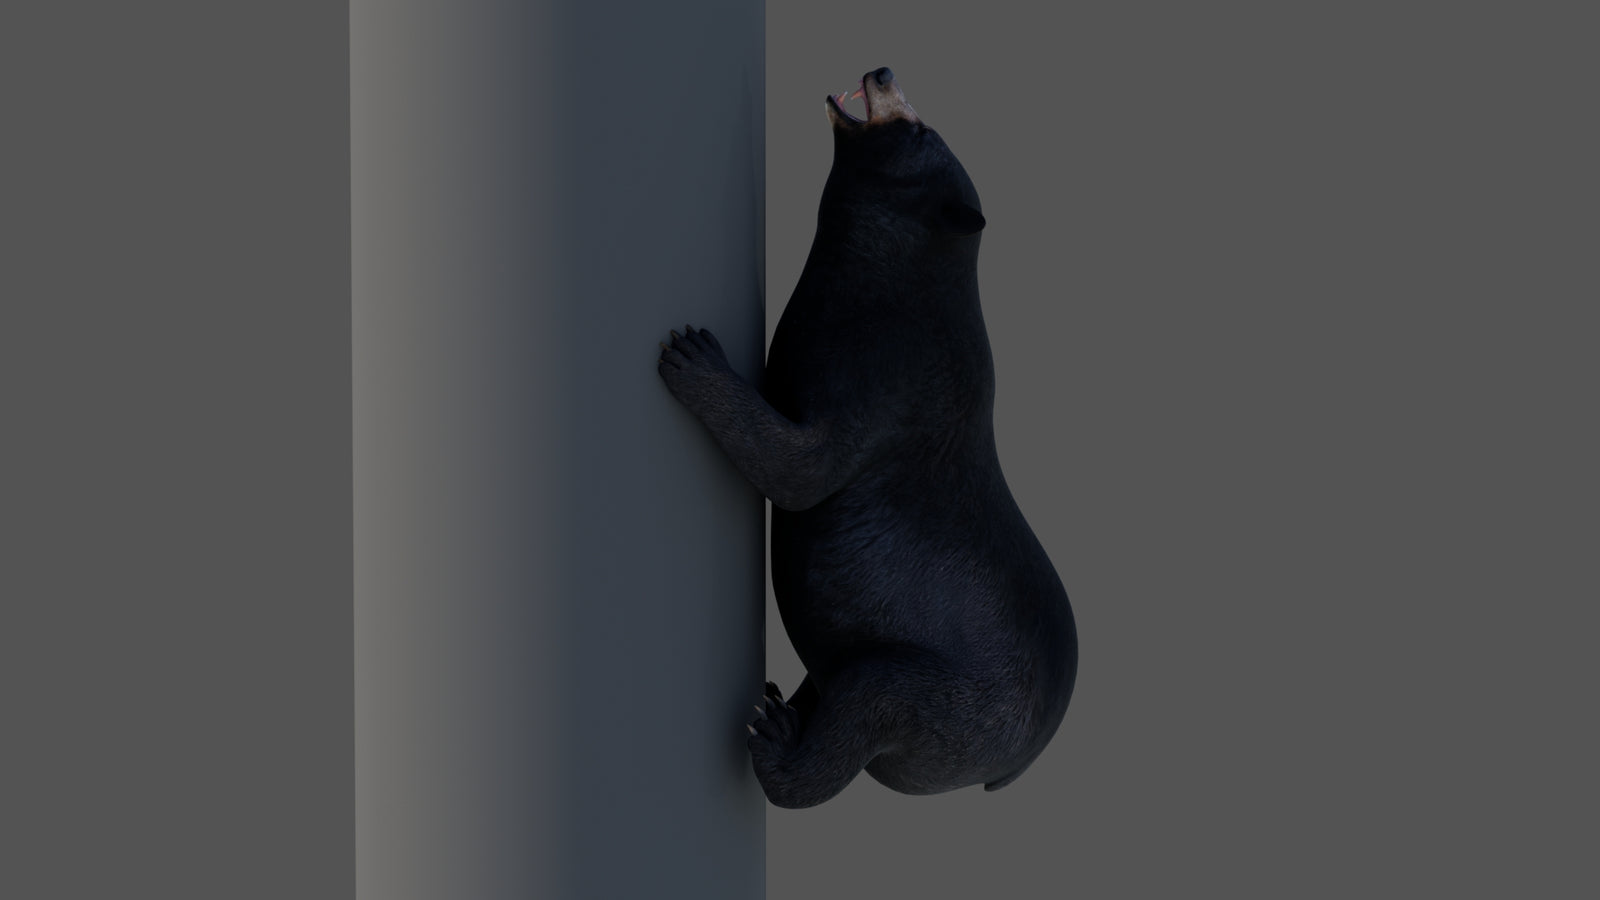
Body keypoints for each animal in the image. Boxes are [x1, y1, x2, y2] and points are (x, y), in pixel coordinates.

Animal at [658, 67, 1076, 809]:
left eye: (917, 128)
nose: (880, 72)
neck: (891, 271)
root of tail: (1016, 765)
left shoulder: (888, 380)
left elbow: (802, 469)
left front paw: (693, 355)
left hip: (954, 699)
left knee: (874, 705)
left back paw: (776, 738)